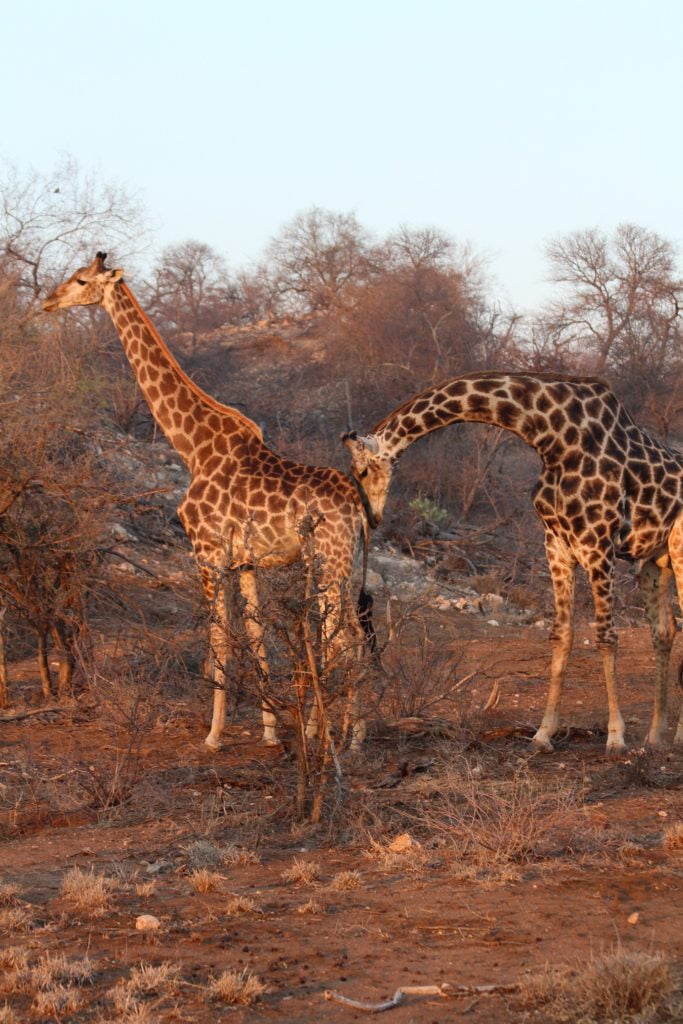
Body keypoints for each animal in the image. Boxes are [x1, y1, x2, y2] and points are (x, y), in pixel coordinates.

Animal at [43, 253, 371, 750]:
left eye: (81, 280)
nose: (47, 302)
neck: (192, 446)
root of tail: (358, 507)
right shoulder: (246, 560)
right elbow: (255, 634)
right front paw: (269, 731)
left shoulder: (206, 551)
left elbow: (218, 639)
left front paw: (214, 735)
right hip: (342, 565)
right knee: (347, 636)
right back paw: (340, 732)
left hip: (330, 563)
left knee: (344, 639)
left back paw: (340, 738)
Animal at [343, 371, 683, 757]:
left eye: (362, 470)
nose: (373, 517)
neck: (552, 437)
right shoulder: (557, 545)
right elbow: (561, 636)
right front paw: (543, 735)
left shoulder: (597, 543)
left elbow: (606, 637)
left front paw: (615, 738)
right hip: (654, 562)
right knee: (664, 629)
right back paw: (656, 735)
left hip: (676, 551)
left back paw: (676, 736)